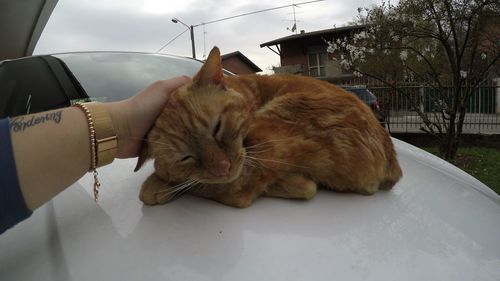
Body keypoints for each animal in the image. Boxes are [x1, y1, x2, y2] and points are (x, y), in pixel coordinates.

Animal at [134, 47, 402, 207]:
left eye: (217, 127)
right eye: (186, 157)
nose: (223, 167)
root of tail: (392, 163)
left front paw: (158, 183)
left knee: (241, 193)